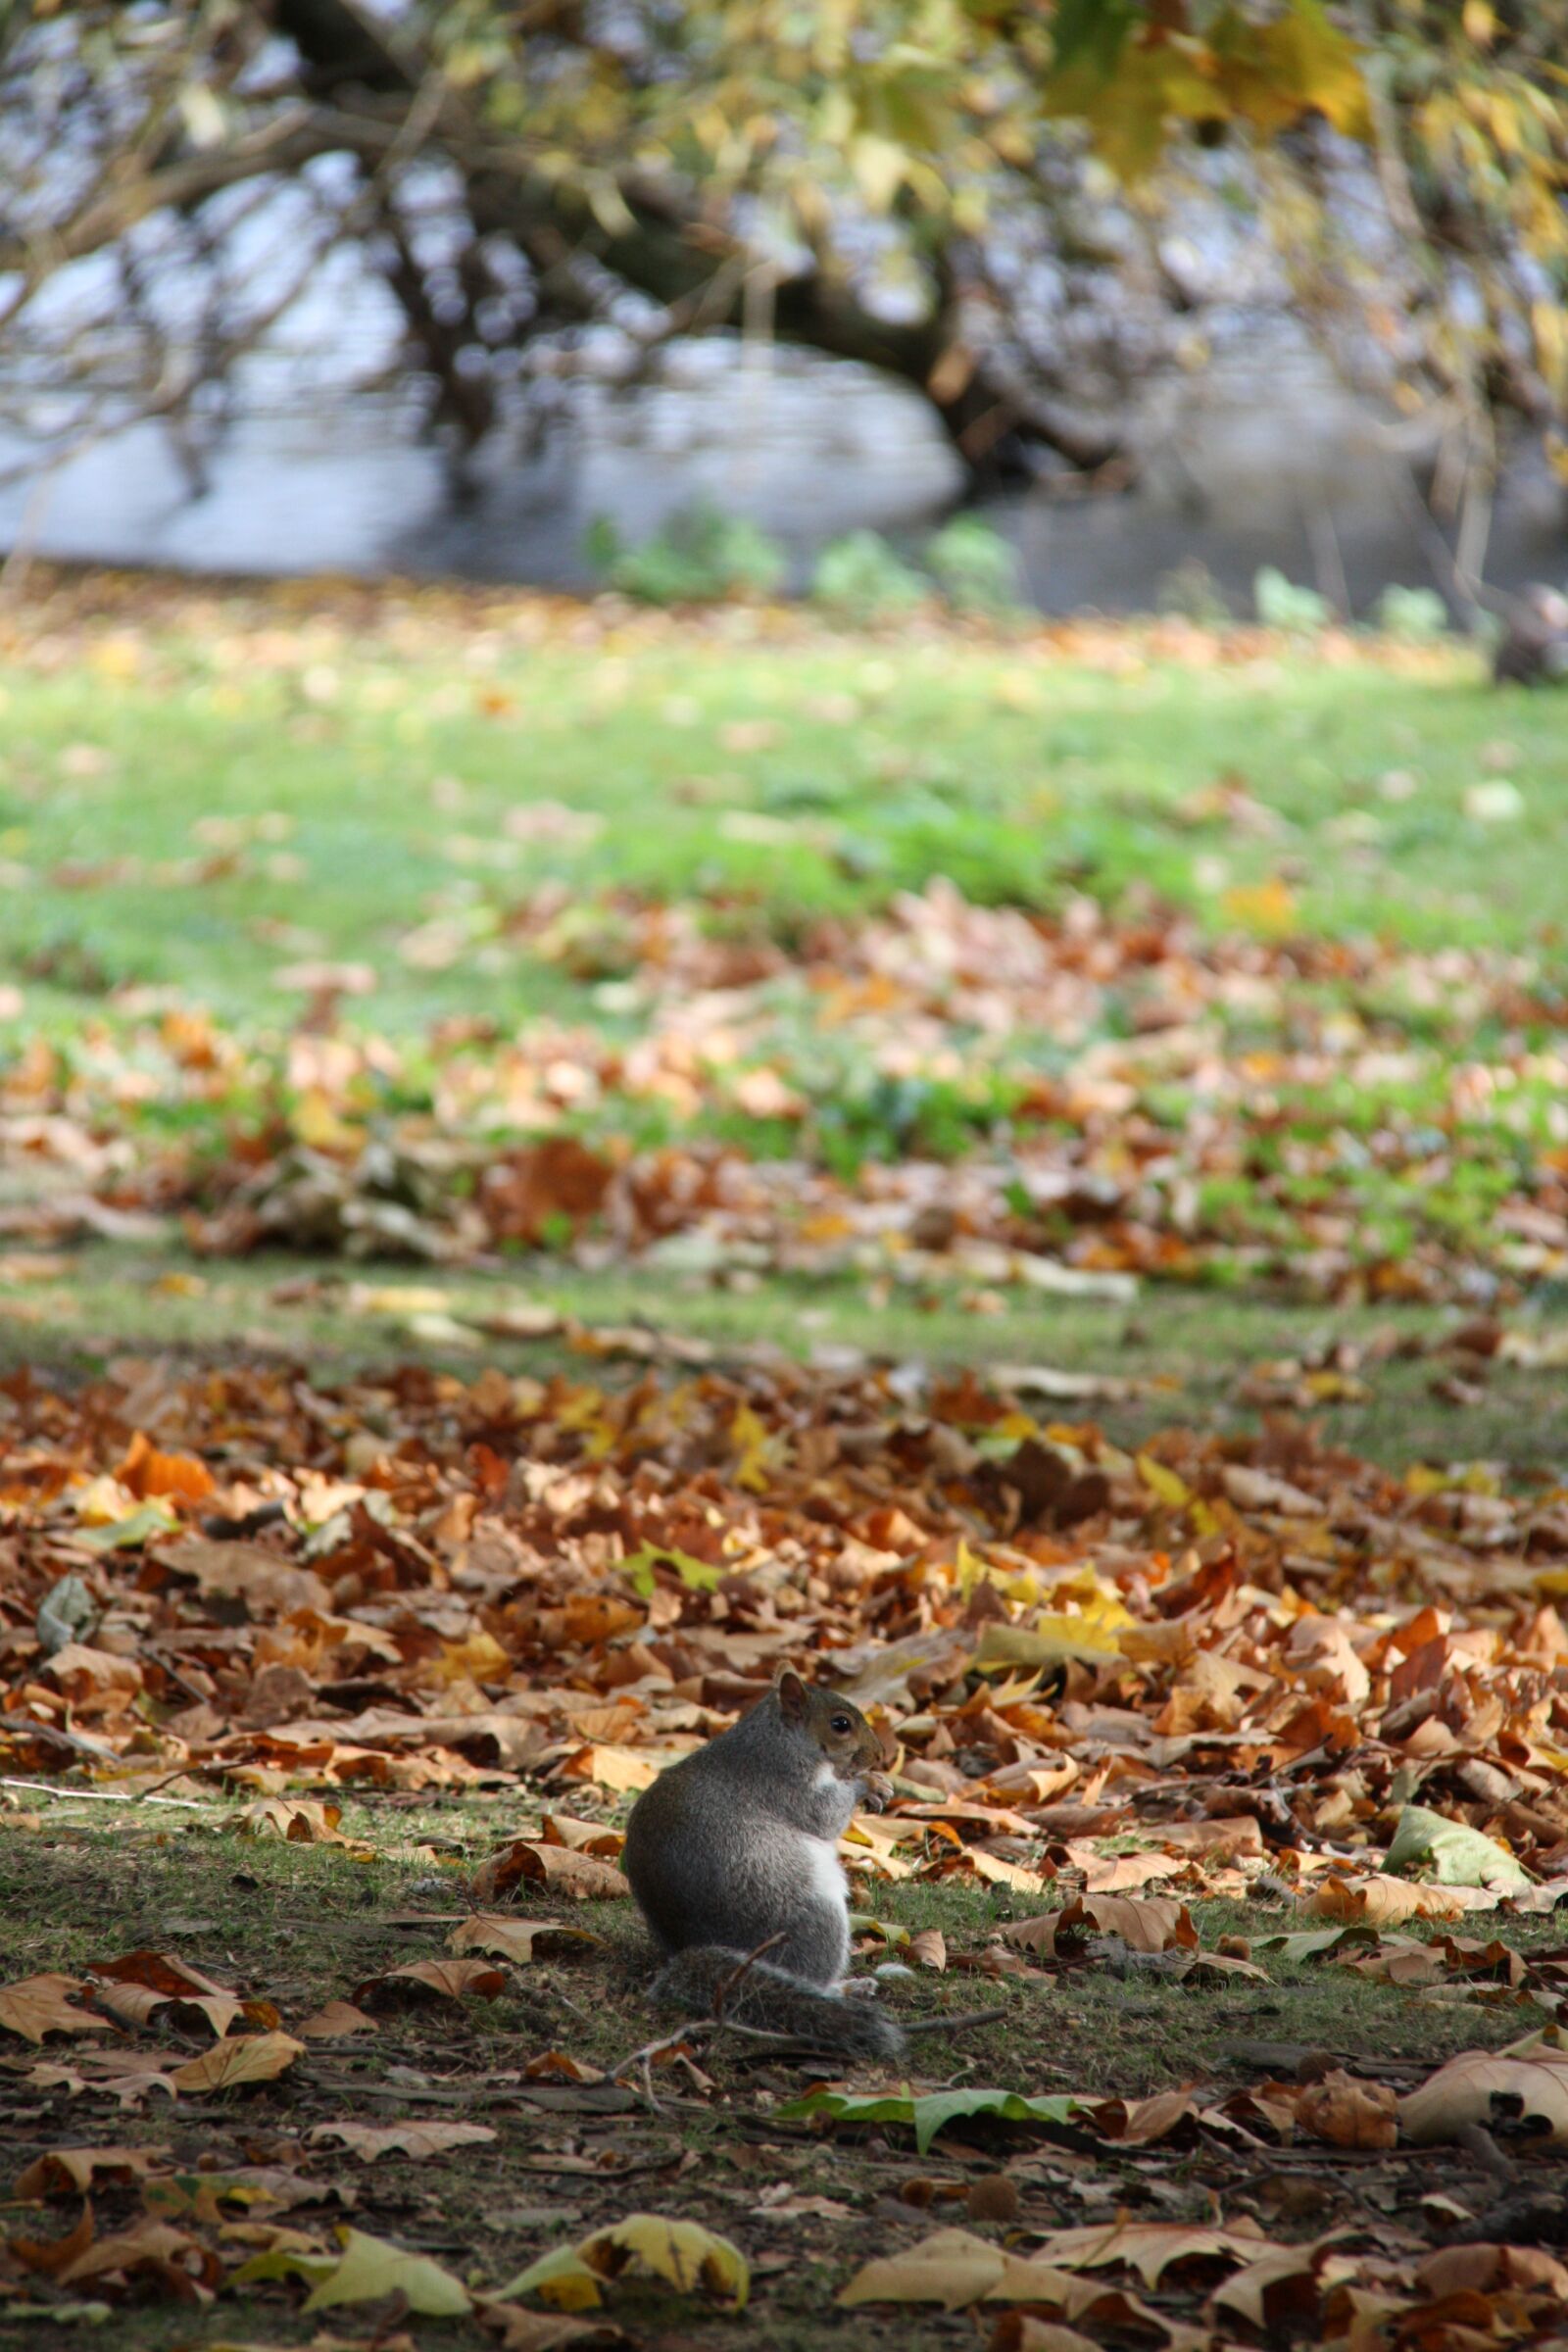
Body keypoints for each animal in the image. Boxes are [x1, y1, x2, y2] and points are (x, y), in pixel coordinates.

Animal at [623, 1670, 904, 2060]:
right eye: (841, 1724)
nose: (878, 1755)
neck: (779, 1737)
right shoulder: (787, 1781)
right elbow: (825, 1815)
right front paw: (867, 1784)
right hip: (809, 1919)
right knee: (813, 1976)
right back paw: (843, 1990)